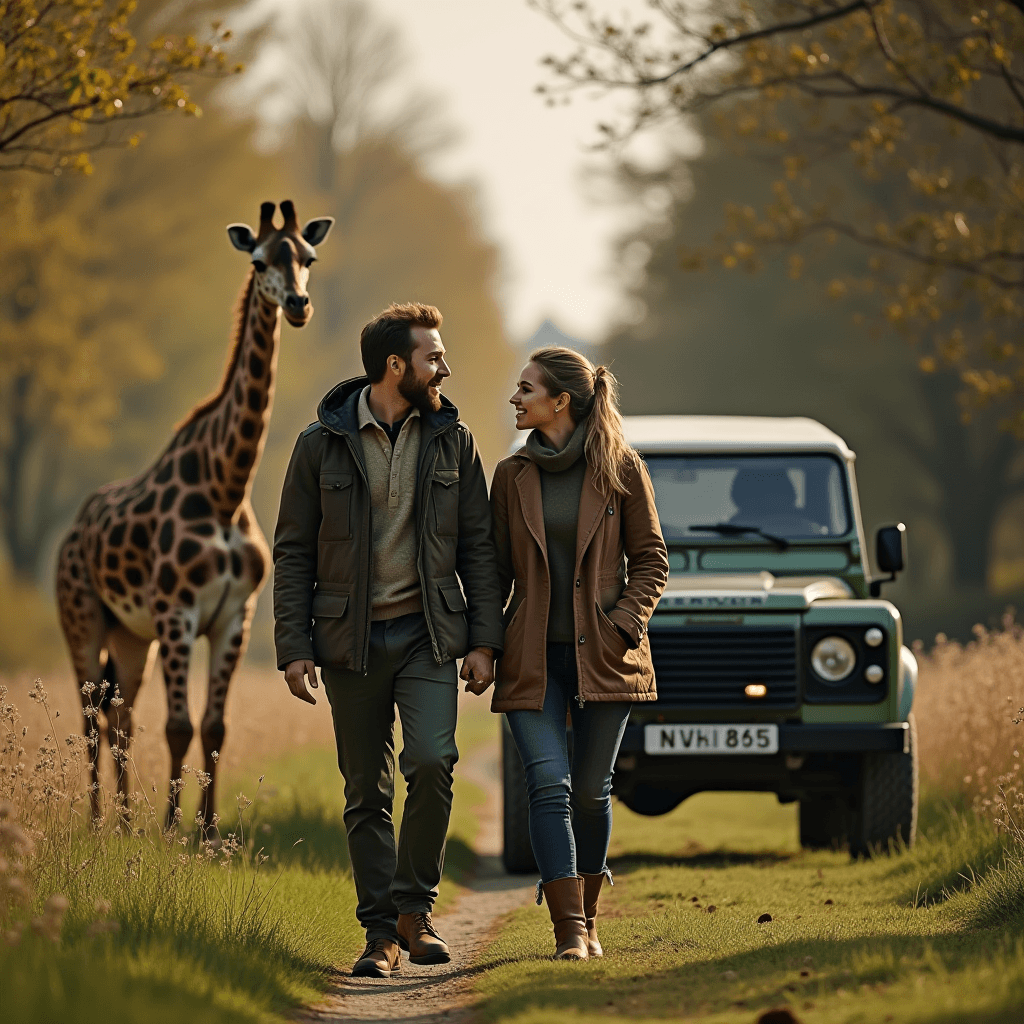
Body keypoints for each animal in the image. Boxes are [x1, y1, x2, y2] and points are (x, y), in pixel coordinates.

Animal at [56, 199, 333, 831]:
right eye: (259, 261)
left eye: (308, 258)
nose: (298, 305)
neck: (226, 486)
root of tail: (71, 532)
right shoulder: (177, 611)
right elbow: (180, 725)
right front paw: (170, 829)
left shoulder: (235, 617)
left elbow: (214, 726)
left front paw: (203, 834)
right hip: (83, 617)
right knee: (89, 714)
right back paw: (98, 823)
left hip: (131, 636)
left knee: (121, 715)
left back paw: (123, 824)